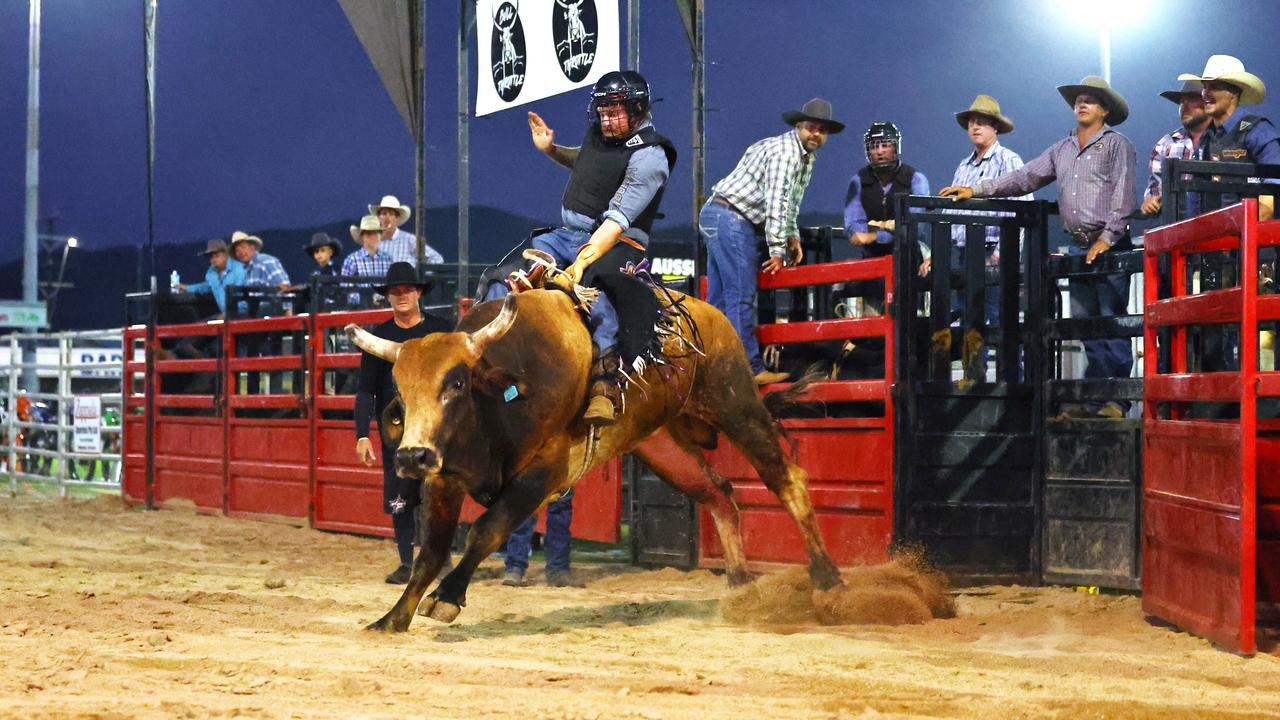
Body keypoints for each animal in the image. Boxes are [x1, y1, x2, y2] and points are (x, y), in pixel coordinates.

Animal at [350, 285, 844, 627]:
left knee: (787, 480)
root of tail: (703, 313)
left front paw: (447, 598)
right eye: (401, 390)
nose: (410, 456)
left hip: (734, 400)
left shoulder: (545, 471)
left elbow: (487, 530)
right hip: (663, 445)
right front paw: (391, 619)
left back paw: (828, 582)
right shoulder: (443, 476)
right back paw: (741, 591)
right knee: (719, 494)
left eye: (455, 383)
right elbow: (430, 552)